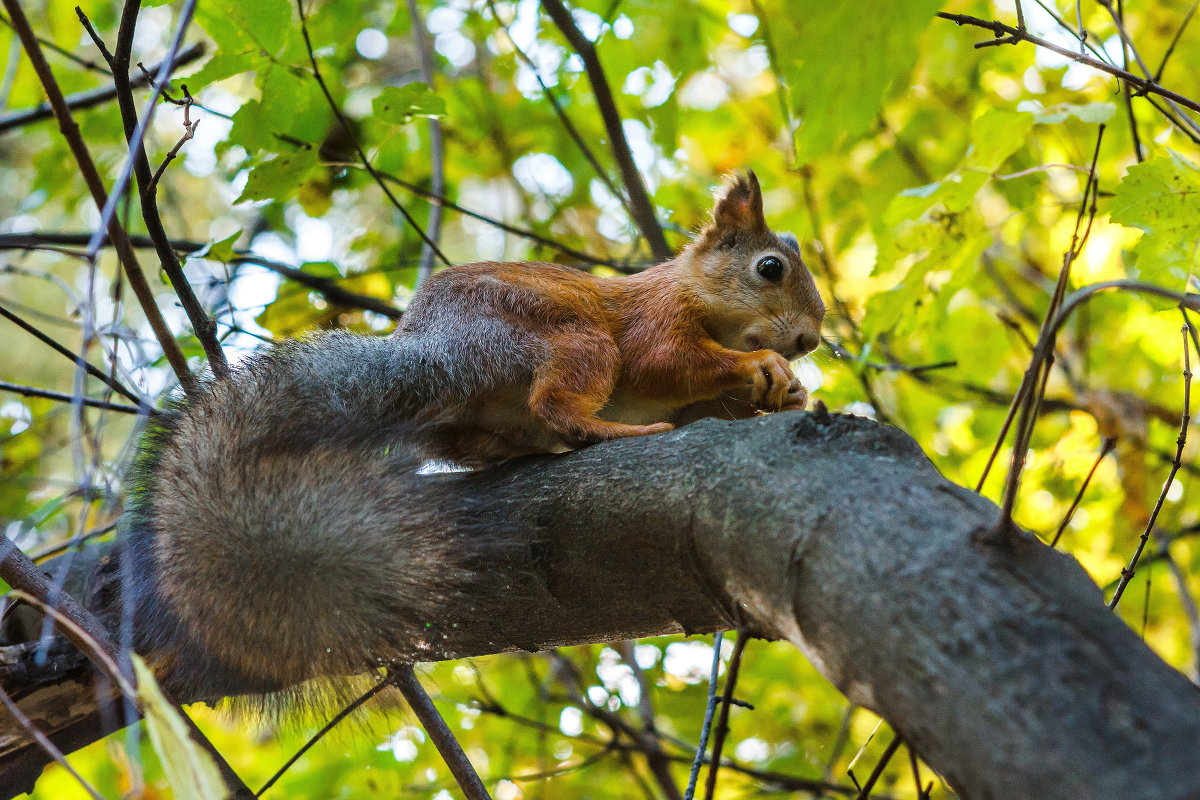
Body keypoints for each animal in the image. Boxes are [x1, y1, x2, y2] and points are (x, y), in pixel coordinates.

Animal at [400, 172, 825, 465]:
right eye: (770, 267)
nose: (811, 341)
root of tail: (429, 344)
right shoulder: (656, 313)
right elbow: (658, 363)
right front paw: (758, 363)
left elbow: (702, 414)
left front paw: (793, 396)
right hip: (563, 334)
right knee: (555, 406)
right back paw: (622, 431)